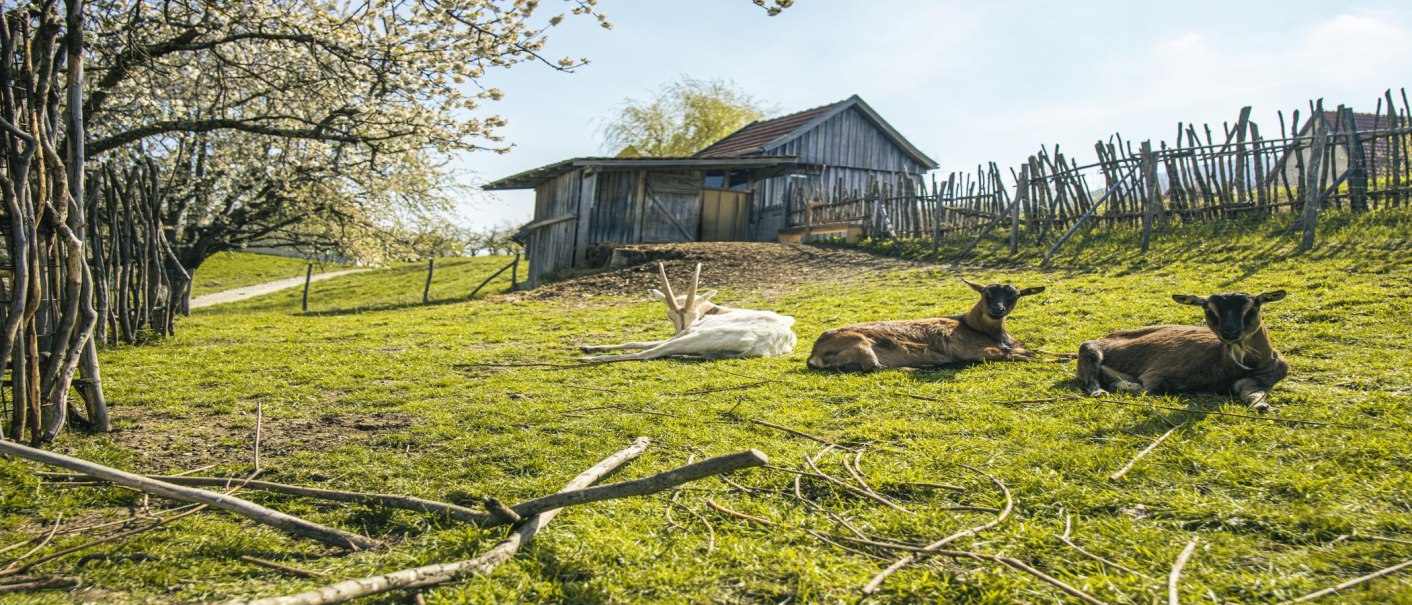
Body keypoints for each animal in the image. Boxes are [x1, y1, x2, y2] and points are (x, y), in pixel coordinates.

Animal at [578, 263, 796, 363]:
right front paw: (588, 346)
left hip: (698, 337)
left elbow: (642, 345)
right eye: (669, 315)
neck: (716, 311)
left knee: (648, 354)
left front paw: (589, 351)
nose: (683, 327)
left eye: (694, 314)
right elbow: (635, 341)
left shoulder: (688, 331)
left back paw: (589, 360)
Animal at [807, 278, 1045, 371]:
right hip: (860, 343)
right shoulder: (975, 350)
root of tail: (814, 355)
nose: (998, 309)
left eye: (1014, 295)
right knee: (873, 366)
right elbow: (1026, 355)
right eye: (986, 293)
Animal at [1076, 291, 1289, 411]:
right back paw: (1101, 390)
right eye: (1208, 308)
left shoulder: (1261, 378)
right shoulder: (1157, 373)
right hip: (1090, 348)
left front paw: (1264, 406)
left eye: (1254, 306)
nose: (1230, 332)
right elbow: (1149, 389)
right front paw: (1121, 384)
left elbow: (1252, 394)